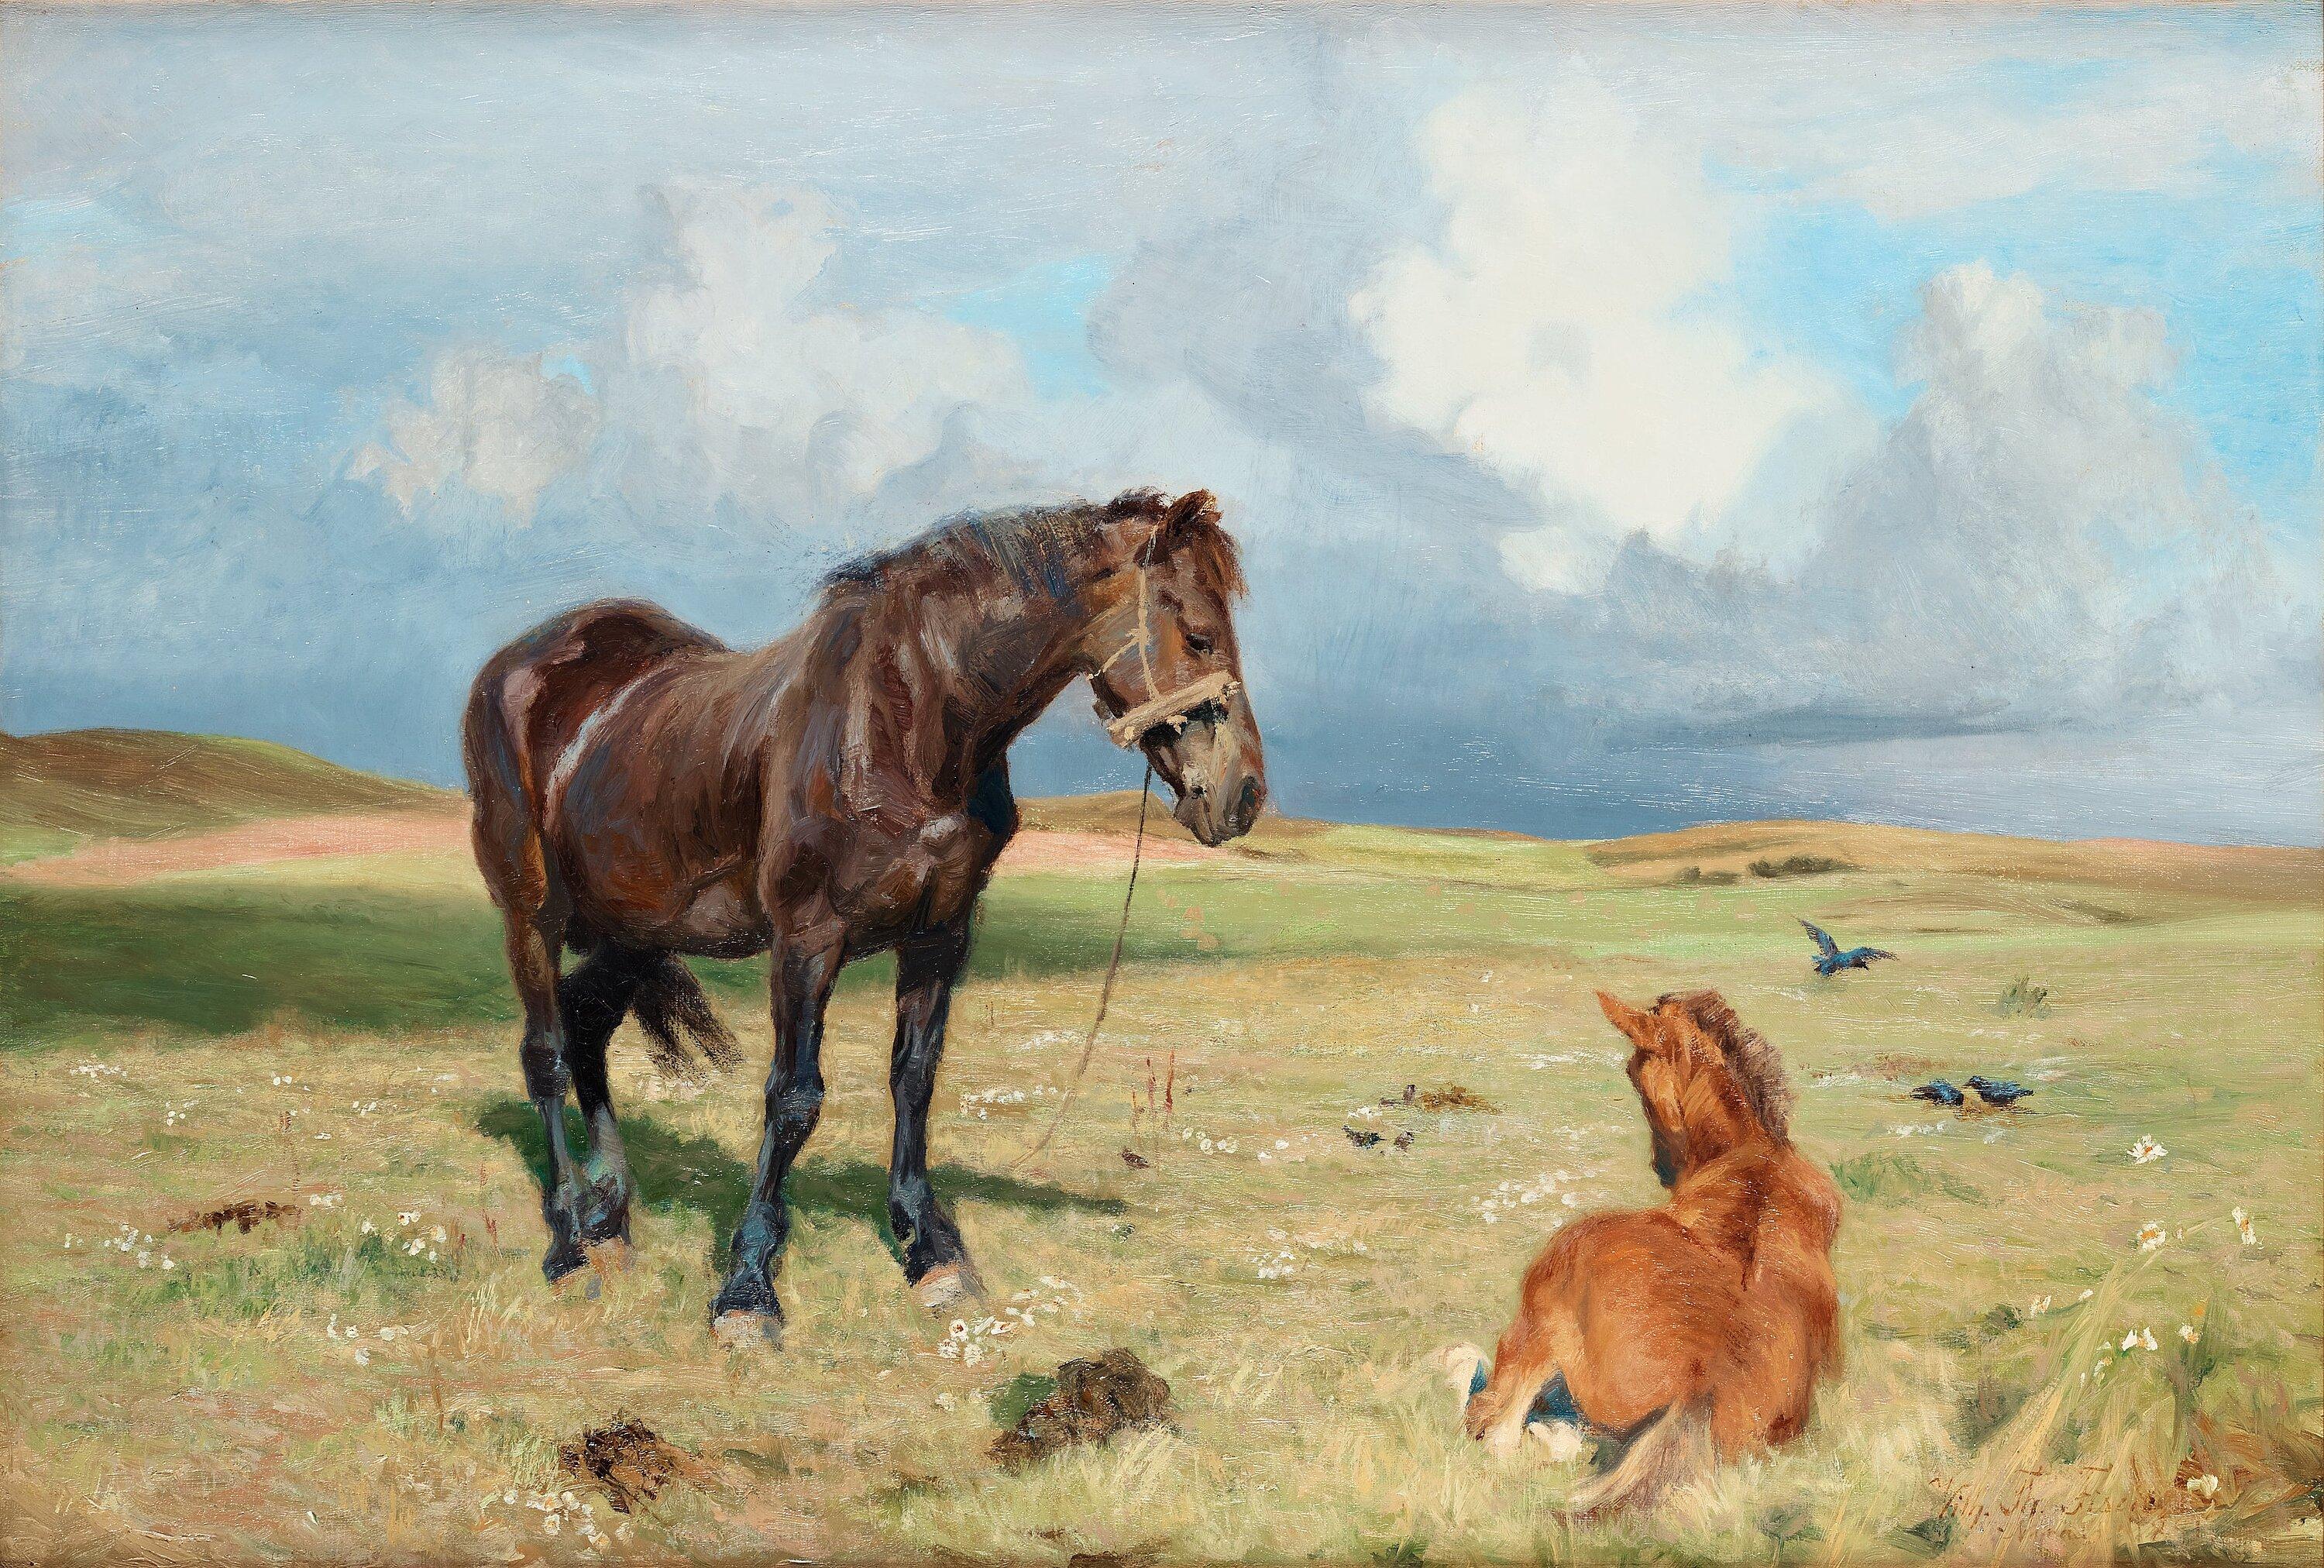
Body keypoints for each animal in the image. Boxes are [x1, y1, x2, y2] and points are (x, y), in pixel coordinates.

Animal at [461, 488, 1265, 1345]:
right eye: (1199, 634)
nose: (1244, 793)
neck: (905, 722)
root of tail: (525, 660)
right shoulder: (808, 940)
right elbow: (793, 1099)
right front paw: (747, 1288)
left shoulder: (941, 935)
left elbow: (914, 1080)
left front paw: (932, 1252)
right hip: (531, 913)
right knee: (546, 1053)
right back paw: (568, 1242)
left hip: (637, 927)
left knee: (585, 1027)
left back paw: (609, 1219)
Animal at [1462, 989, 1842, 1515]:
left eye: (1633, 1069)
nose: (1661, 1168)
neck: (1752, 1158)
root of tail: (1701, 1387)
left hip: (1550, 1286)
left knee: (1501, 1428)